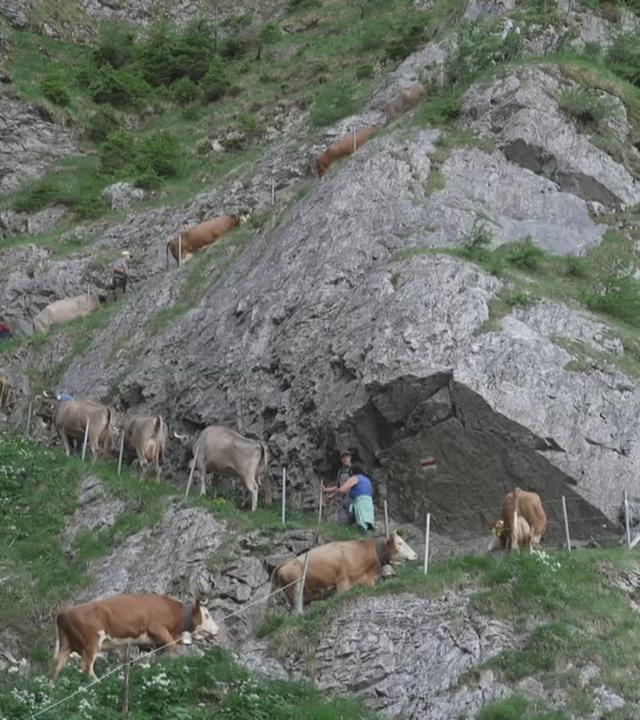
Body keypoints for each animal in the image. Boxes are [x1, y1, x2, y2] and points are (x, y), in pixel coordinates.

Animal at [51, 593, 219, 680]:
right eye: (207, 615)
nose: (217, 629)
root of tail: (65, 611)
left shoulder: (147, 643)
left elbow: (146, 659)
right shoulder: (157, 627)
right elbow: (171, 646)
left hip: (66, 645)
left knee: (57, 665)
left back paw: (52, 687)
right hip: (91, 643)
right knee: (86, 665)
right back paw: (97, 683)